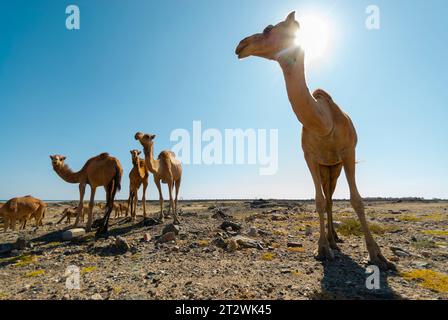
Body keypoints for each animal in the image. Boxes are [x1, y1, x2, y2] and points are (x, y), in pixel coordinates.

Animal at [236, 11, 394, 270]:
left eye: (268, 29)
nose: (241, 44)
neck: (324, 123)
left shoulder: (348, 152)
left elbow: (357, 200)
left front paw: (378, 256)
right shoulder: (310, 157)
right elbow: (318, 201)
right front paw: (322, 249)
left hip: (335, 167)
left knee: (333, 197)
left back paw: (336, 238)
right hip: (325, 168)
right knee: (327, 199)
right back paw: (331, 240)